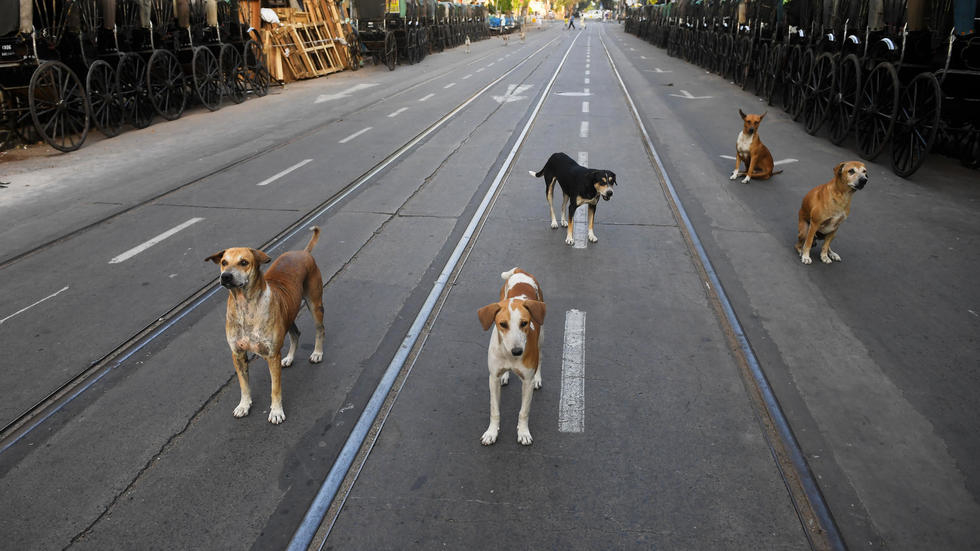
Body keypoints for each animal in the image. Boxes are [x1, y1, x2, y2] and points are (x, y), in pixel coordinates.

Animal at [205, 226, 328, 424]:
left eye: (244, 262)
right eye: (224, 262)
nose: (226, 276)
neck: (245, 307)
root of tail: (303, 252)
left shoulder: (272, 355)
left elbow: (275, 388)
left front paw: (276, 412)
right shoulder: (237, 354)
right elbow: (244, 384)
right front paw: (244, 405)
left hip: (315, 304)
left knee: (320, 329)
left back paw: (317, 353)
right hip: (288, 313)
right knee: (296, 334)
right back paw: (289, 358)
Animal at [478, 270, 548, 446]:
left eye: (524, 323)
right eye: (502, 324)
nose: (517, 351)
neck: (509, 356)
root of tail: (521, 271)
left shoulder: (527, 381)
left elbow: (524, 411)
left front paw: (523, 432)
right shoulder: (493, 378)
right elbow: (494, 410)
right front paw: (491, 432)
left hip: (541, 335)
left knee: (541, 357)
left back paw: (538, 378)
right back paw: (506, 375)